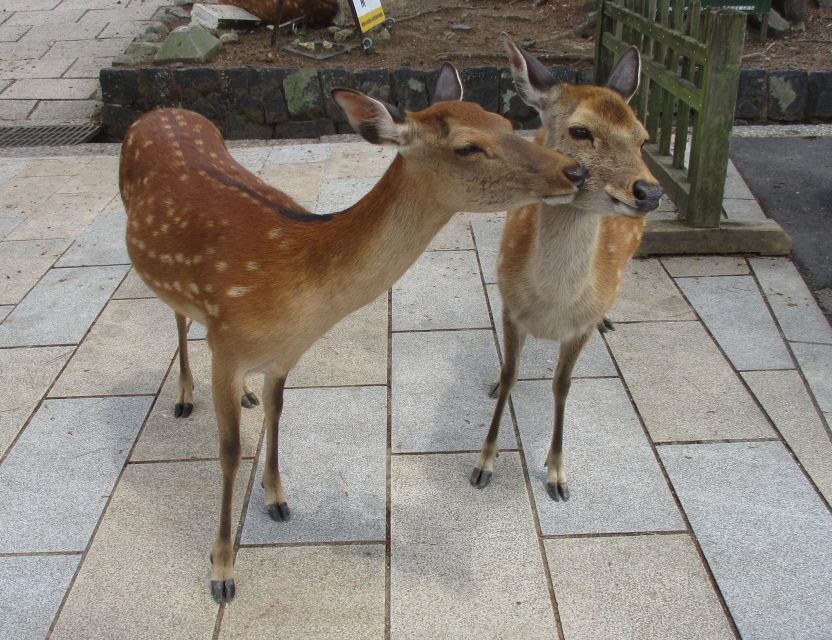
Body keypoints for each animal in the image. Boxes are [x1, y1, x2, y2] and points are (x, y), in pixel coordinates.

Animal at [120, 62, 588, 604]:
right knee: (177, 315)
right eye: (468, 146)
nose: (575, 171)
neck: (295, 294)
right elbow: (230, 454)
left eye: (506, 120)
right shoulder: (227, 342)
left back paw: (244, 397)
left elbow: (279, 413)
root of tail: (158, 110)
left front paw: (277, 498)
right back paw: (183, 395)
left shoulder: (285, 355)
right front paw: (222, 572)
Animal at [472, 36, 668, 500]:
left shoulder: (578, 327)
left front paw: (557, 473)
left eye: (643, 138)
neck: (552, 307)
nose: (650, 192)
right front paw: (484, 463)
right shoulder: (510, 309)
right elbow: (510, 373)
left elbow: (562, 385)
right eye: (581, 131)